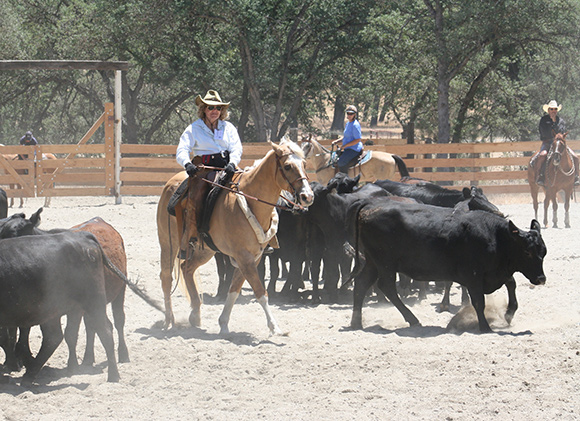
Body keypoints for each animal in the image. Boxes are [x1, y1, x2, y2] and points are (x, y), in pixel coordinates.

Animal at [0, 231, 120, 382]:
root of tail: (81, 236)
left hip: (93, 302)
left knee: (105, 331)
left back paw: (113, 375)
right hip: (53, 310)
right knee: (54, 337)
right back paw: (30, 374)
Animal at [156, 139, 314, 334]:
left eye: (304, 164)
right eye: (287, 166)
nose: (307, 196)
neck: (251, 200)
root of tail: (171, 183)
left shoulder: (252, 257)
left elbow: (234, 290)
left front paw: (224, 323)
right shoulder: (244, 257)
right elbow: (260, 292)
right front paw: (275, 327)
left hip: (205, 250)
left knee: (187, 268)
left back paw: (195, 314)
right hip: (168, 243)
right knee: (166, 277)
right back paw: (168, 320)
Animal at [348, 199, 548, 334]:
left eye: (543, 252)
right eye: (527, 252)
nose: (541, 279)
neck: (496, 237)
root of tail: (369, 208)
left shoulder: (497, 272)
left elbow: (511, 283)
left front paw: (509, 313)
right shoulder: (473, 277)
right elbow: (479, 301)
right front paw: (485, 327)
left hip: (373, 262)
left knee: (361, 283)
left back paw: (356, 322)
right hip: (386, 264)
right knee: (386, 287)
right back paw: (412, 319)